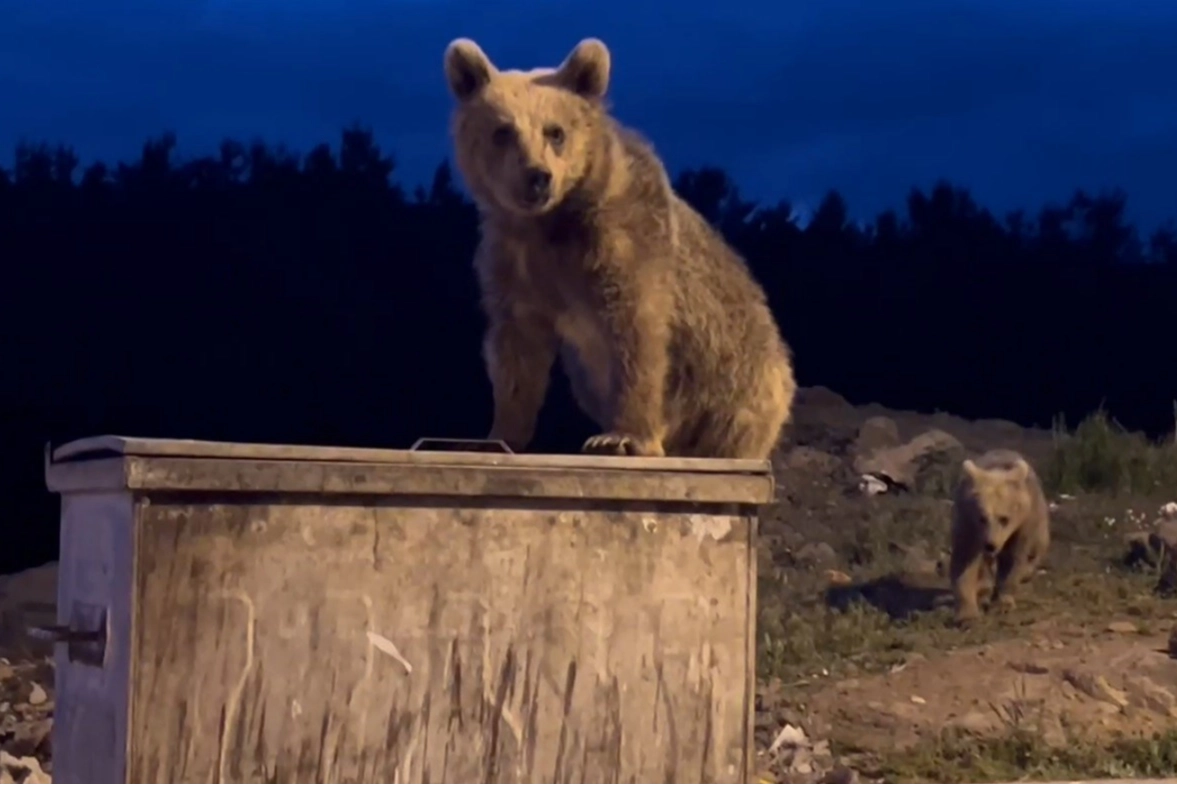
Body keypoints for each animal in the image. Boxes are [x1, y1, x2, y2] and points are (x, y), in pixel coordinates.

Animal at [442, 38, 800, 461]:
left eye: (555, 131)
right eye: (503, 131)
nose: (537, 177)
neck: (553, 223)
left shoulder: (626, 243)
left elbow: (636, 334)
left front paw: (622, 437)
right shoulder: (514, 263)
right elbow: (516, 350)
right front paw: (497, 433)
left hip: (740, 380)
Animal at [951, 447, 1054, 626]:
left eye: (1004, 518)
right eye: (982, 517)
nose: (990, 545)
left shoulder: (1022, 525)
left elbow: (1013, 560)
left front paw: (1003, 603)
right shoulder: (968, 523)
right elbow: (965, 560)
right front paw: (967, 615)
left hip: (1040, 521)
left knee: (1036, 549)